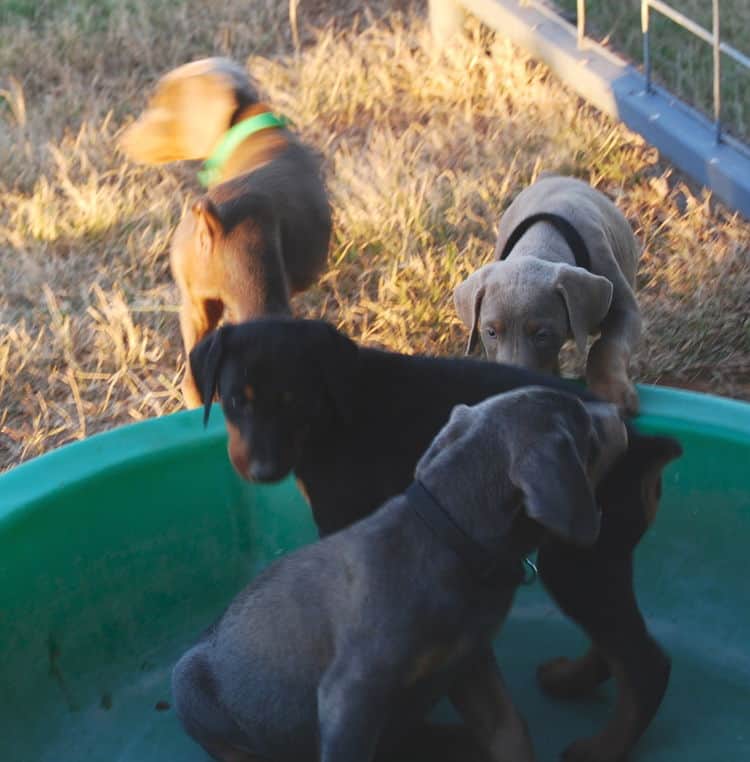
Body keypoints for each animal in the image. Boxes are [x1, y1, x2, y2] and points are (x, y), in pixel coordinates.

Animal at [119, 58, 330, 406]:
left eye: (163, 108)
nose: (123, 139)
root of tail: (215, 220)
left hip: (194, 306)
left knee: (192, 380)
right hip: (256, 292)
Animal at [191, 316, 684, 760]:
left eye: (296, 404)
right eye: (235, 401)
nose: (262, 472)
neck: (337, 412)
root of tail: (645, 447)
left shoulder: (343, 522)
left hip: (577, 556)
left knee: (642, 662)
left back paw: (601, 747)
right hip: (602, 554)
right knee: (616, 641)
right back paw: (569, 680)